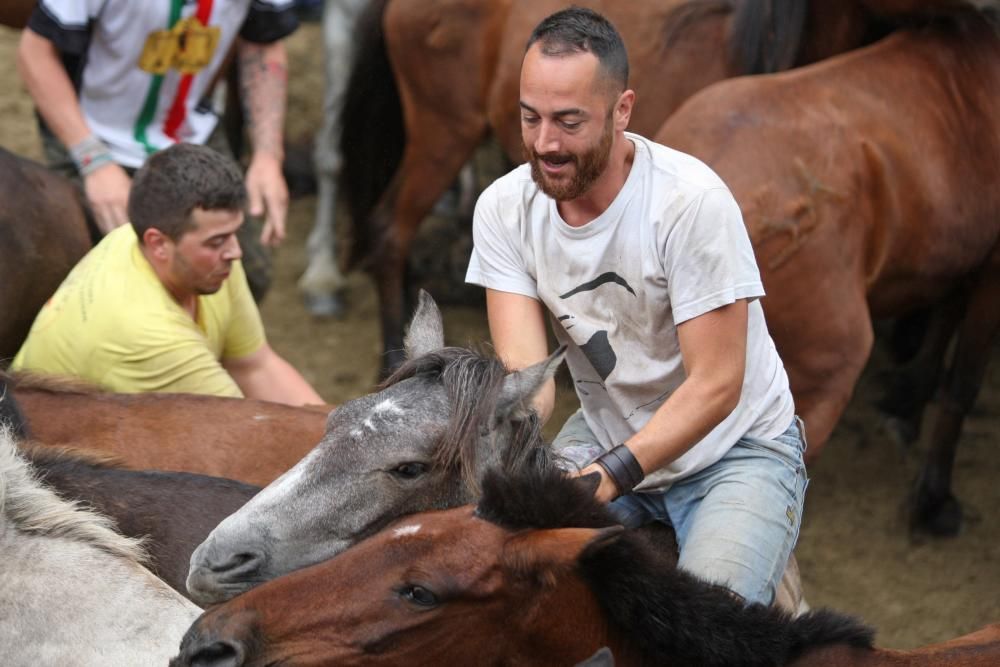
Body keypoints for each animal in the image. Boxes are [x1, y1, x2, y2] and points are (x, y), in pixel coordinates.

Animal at [656, 7, 1000, 536]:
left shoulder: (962, 255)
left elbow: (943, 321)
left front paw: (906, 402)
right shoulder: (993, 269)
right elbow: (961, 383)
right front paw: (933, 498)